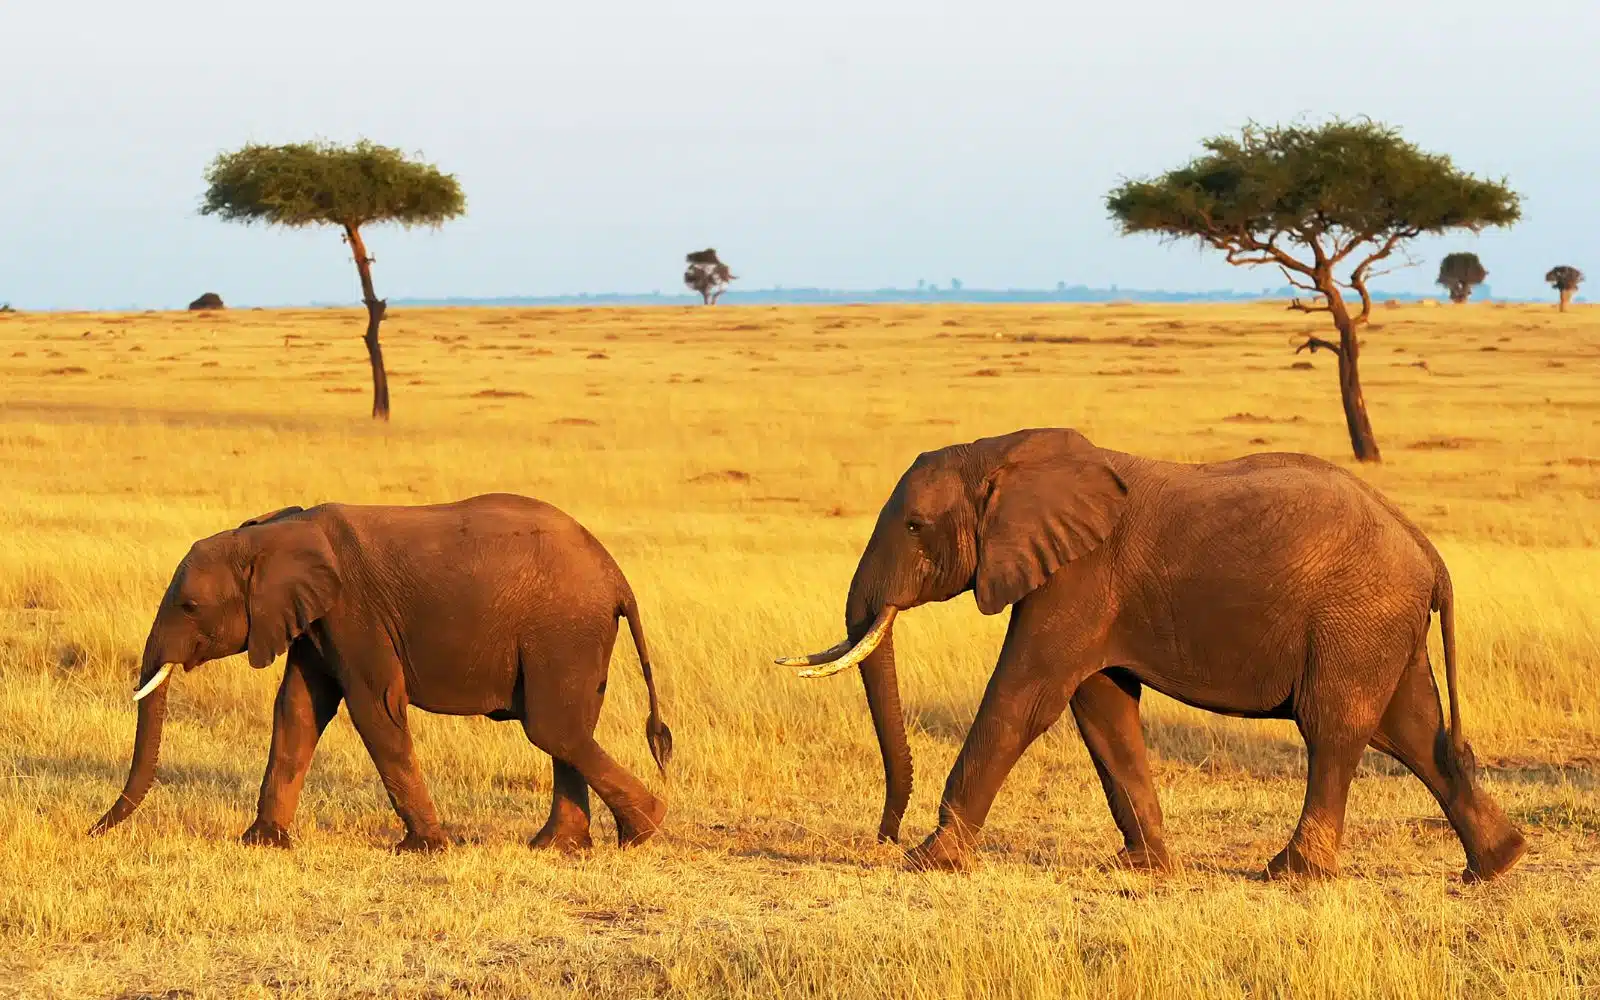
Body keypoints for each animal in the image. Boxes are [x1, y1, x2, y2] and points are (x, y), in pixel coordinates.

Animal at [90, 493, 673, 853]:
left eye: (189, 606)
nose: (91, 830)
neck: (275, 533)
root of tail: (617, 575)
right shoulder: (315, 619)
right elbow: (298, 711)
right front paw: (262, 842)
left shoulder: (354, 611)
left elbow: (375, 708)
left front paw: (426, 848)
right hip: (573, 634)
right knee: (566, 731)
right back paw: (560, 846)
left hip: (564, 628)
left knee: (554, 729)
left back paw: (644, 829)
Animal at [778, 428, 1527, 882]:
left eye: (913, 526)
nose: (883, 837)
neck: (1001, 453)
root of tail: (1427, 549)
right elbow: (1101, 708)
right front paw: (1142, 868)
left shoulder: (1078, 577)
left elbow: (1024, 699)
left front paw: (929, 861)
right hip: (1380, 626)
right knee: (1415, 732)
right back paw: (1496, 865)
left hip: (1357, 616)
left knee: (1335, 729)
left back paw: (1291, 873)